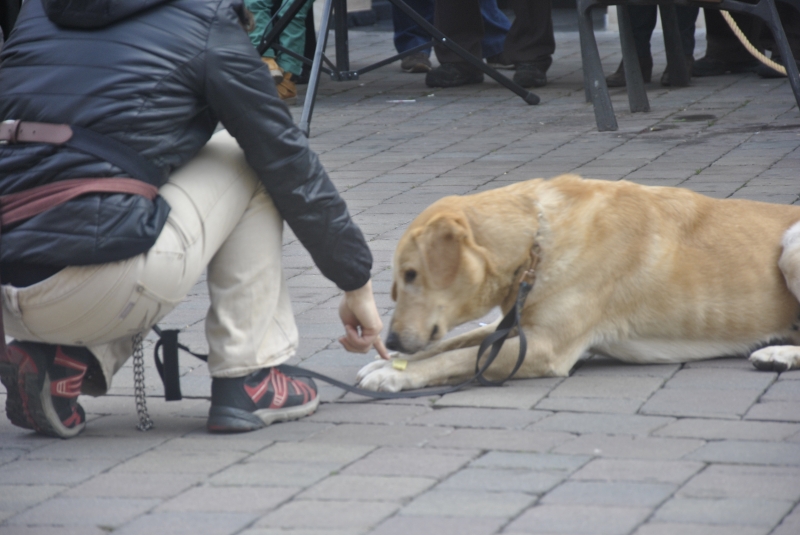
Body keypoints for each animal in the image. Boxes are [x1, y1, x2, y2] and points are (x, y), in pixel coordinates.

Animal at [356, 174, 800, 392]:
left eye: (411, 275)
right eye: (397, 282)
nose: (390, 339)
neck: (536, 244)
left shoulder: (545, 346)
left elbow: (459, 358)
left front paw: (395, 375)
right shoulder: (517, 325)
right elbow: (453, 345)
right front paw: (387, 362)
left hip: (791, 248)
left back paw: (778, 353)